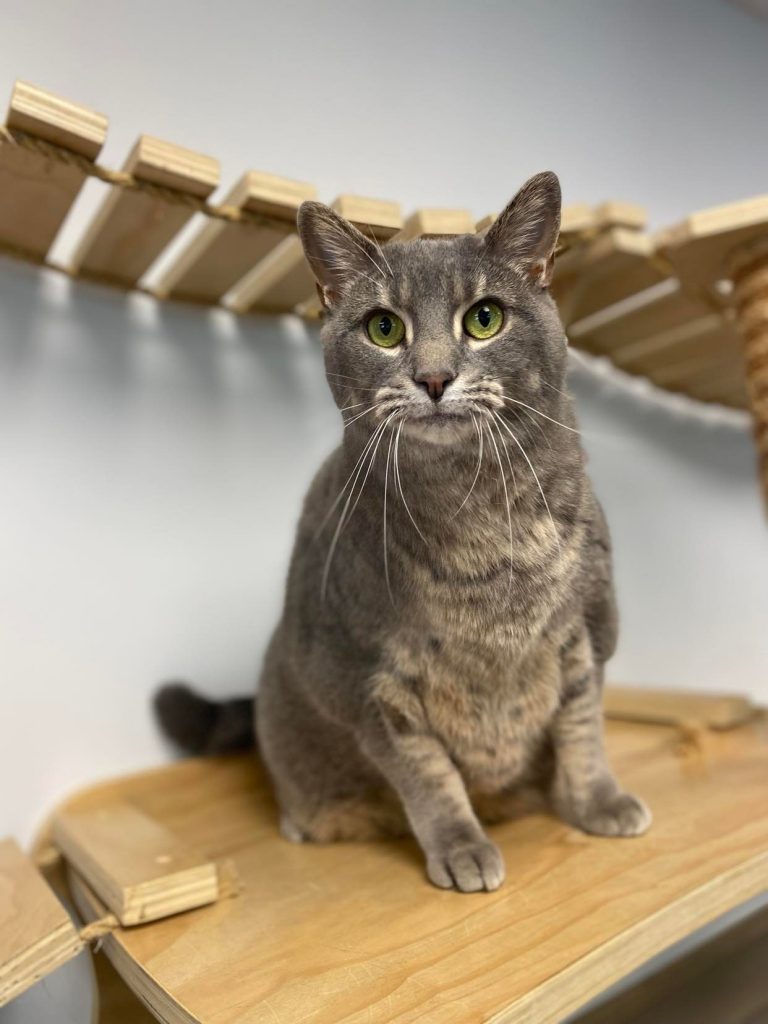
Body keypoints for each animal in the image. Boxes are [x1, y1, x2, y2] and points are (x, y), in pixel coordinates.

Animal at [156, 171, 651, 893]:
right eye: (384, 328)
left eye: (484, 318)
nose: (435, 377)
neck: (480, 522)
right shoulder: (365, 681)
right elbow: (427, 772)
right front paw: (462, 845)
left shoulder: (590, 631)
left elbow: (583, 728)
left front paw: (597, 802)